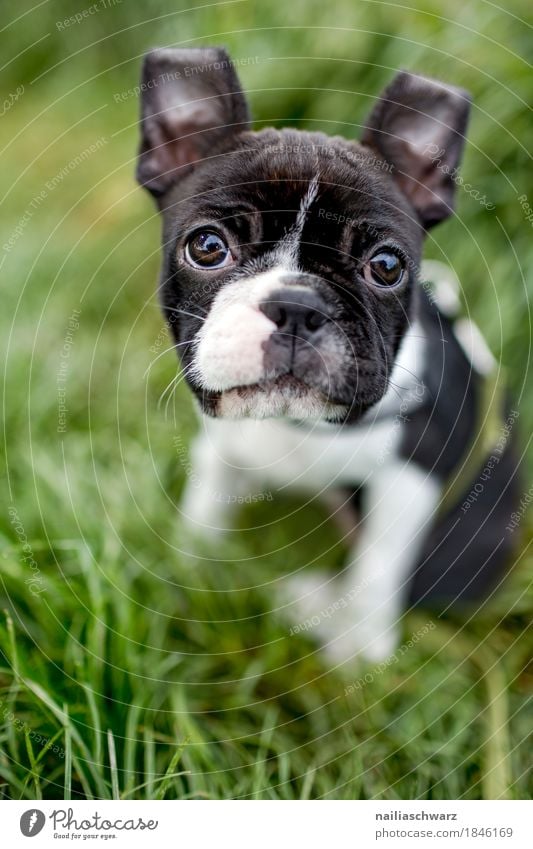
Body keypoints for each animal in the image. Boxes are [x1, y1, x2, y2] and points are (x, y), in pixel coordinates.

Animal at [135, 48, 516, 664]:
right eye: (207, 247)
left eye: (387, 266)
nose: (296, 305)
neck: (295, 423)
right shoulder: (221, 445)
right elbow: (205, 508)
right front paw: (187, 570)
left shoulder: (411, 476)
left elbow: (376, 572)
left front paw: (361, 653)